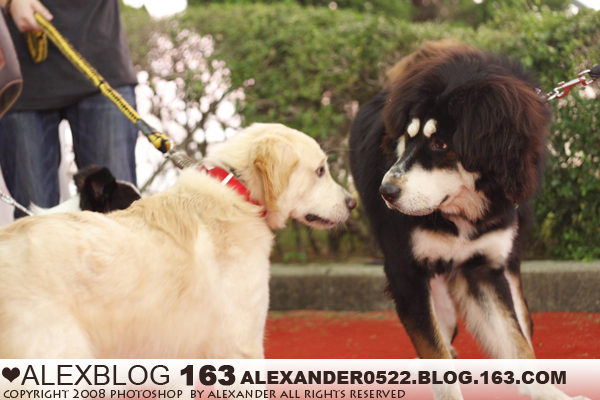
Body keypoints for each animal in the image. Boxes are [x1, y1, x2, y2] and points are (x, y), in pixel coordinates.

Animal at [349, 41, 588, 400]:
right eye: (408, 137)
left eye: (440, 143)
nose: (385, 192)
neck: (462, 215)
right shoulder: (407, 274)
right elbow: (438, 358)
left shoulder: (484, 270)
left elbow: (517, 345)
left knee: (521, 322)